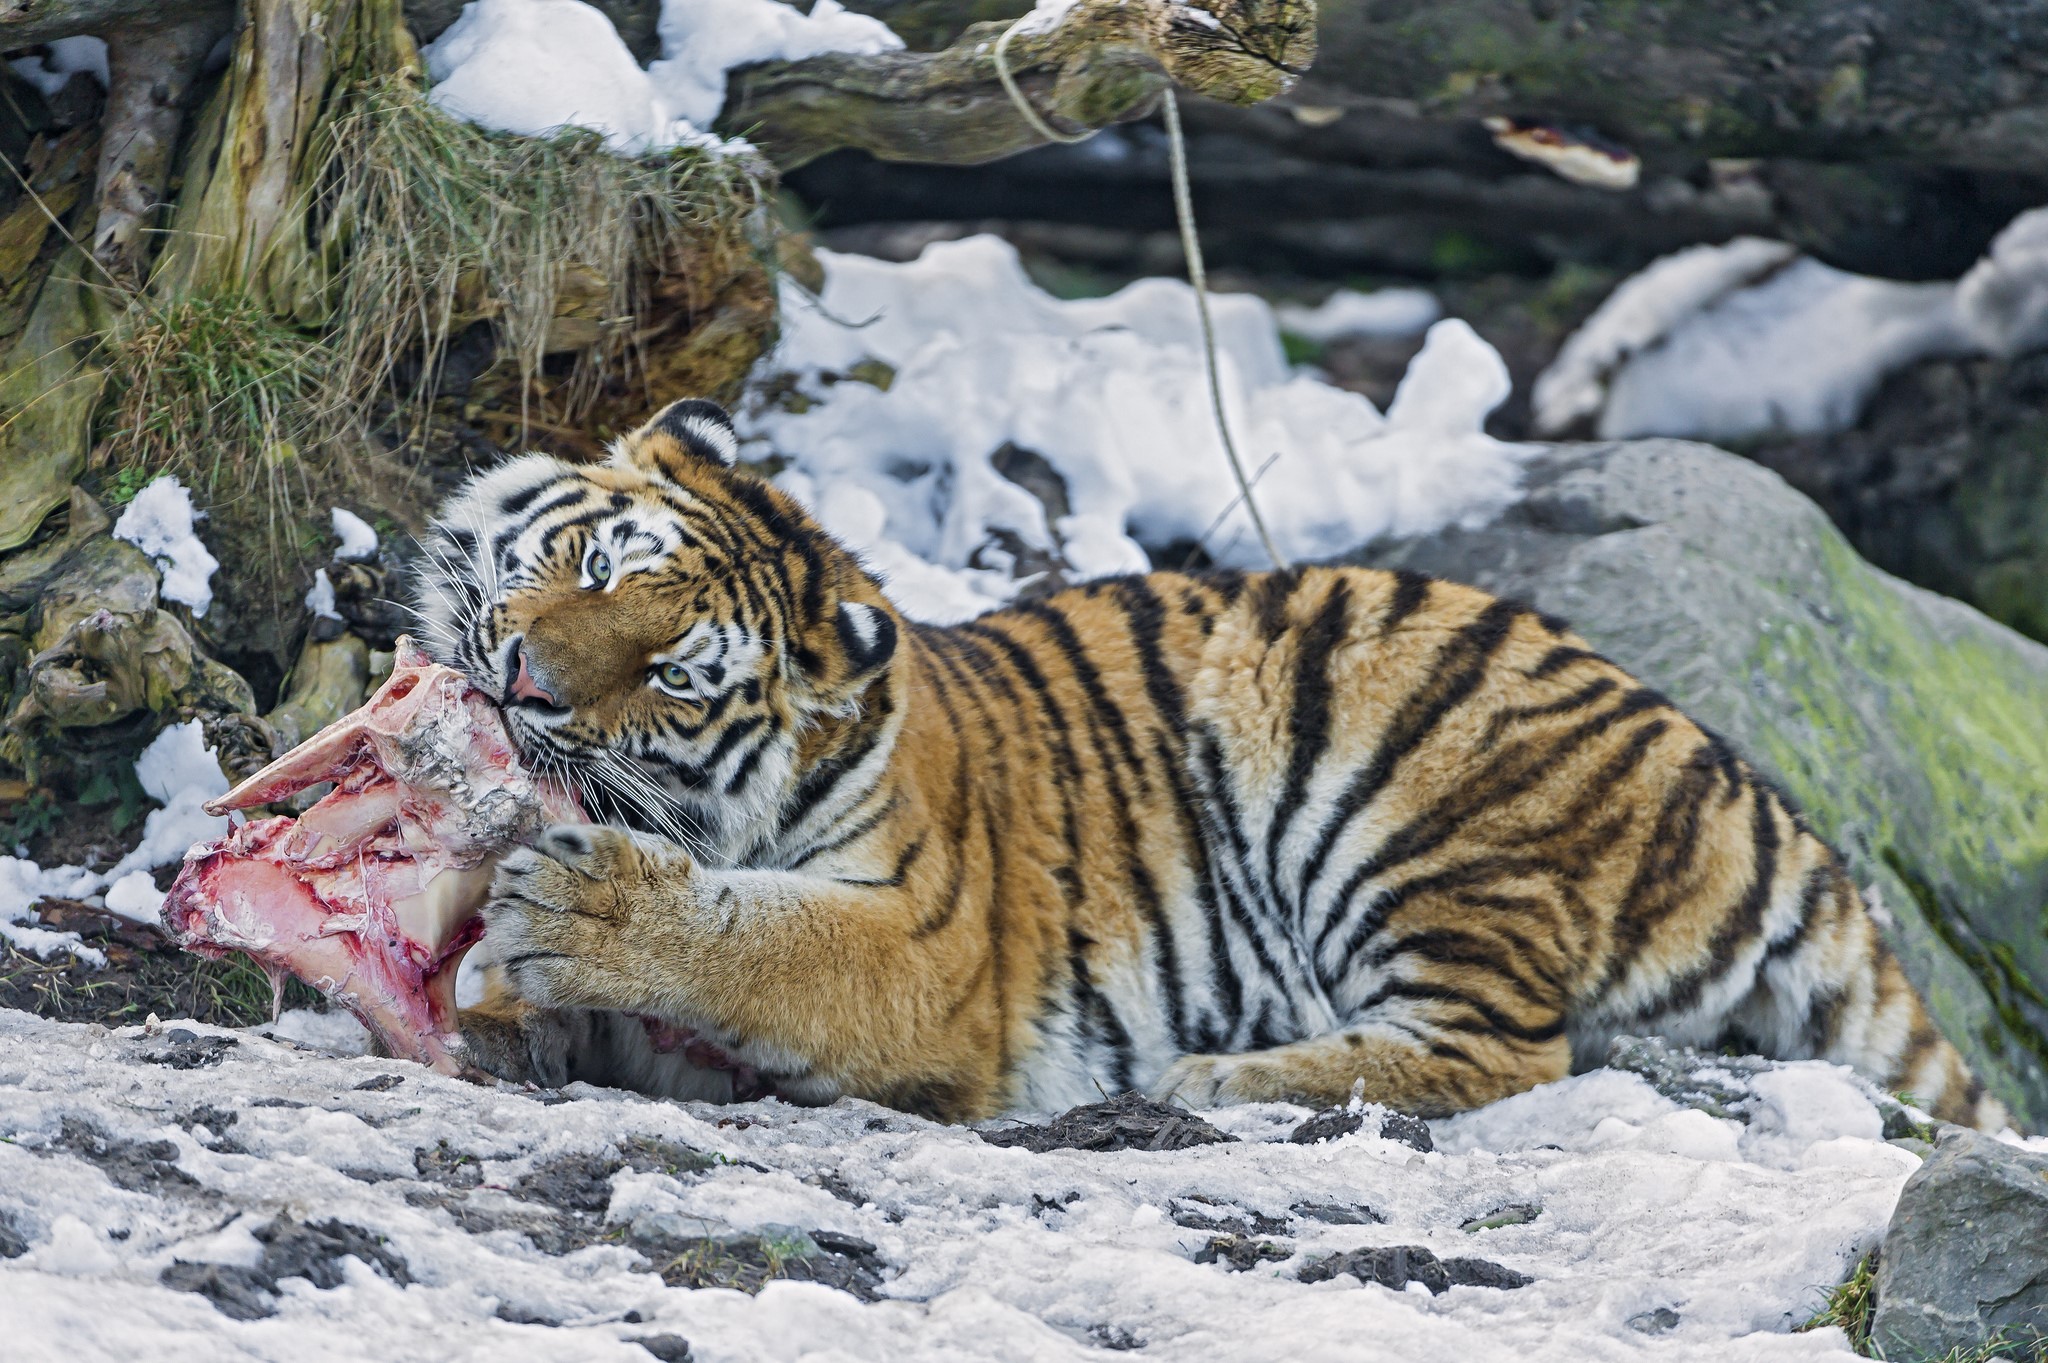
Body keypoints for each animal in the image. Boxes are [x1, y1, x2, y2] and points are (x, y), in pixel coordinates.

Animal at [417, 397, 2010, 1132]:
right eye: (585, 563)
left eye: (674, 674)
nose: (519, 679)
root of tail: (1724, 764)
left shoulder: (933, 955)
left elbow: (765, 942)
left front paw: (585, 908)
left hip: (1408, 812)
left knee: (1506, 1050)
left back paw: (1217, 1074)